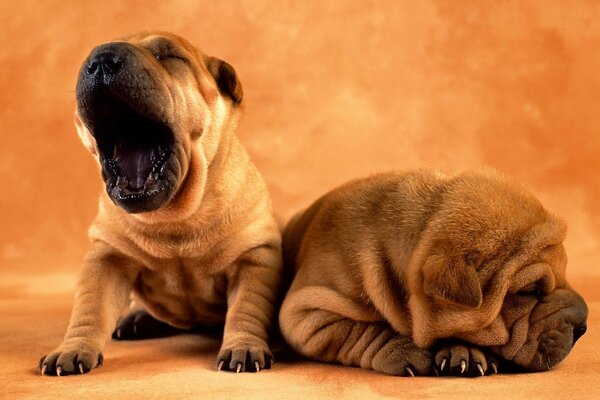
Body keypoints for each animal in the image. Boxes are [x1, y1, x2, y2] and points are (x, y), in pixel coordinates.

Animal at [39, 31, 284, 376]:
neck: (175, 217)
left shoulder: (254, 257)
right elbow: (90, 307)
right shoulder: (108, 256)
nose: (101, 59)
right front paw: (72, 349)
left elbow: (246, 308)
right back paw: (137, 317)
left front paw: (244, 347)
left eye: (169, 57)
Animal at [278, 169, 588, 376]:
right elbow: (360, 330)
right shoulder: (308, 312)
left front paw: (461, 350)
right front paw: (405, 349)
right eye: (530, 291)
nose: (584, 325)